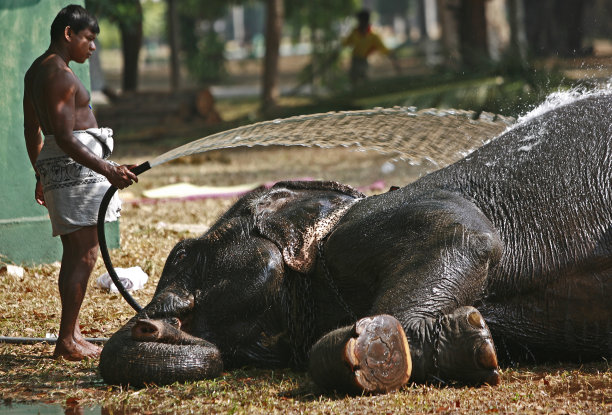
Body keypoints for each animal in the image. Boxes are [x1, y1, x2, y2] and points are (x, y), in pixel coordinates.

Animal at [100, 93, 612, 394]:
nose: (148, 326)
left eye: (181, 255)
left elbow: (464, 230)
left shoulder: (368, 225)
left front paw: (374, 346)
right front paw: (470, 343)